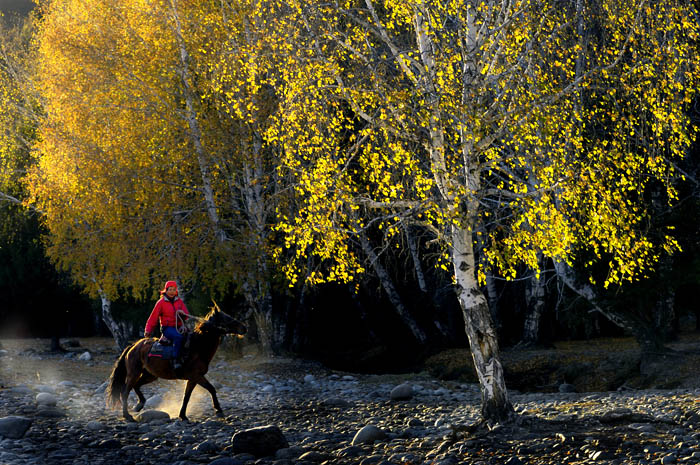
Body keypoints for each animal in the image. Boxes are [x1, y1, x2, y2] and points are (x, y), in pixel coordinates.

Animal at [104, 304, 246, 420]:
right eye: (225, 318)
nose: (243, 327)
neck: (197, 346)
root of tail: (133, 346)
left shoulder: (193, 378)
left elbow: (187, 396)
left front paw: (183, 415)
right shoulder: (196, 376)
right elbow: (211, 389)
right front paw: (218, 410)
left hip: (150, 375)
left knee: (136, 386)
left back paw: (140, 405)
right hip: (134, 373)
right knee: (125, 392)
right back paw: (127, 415)